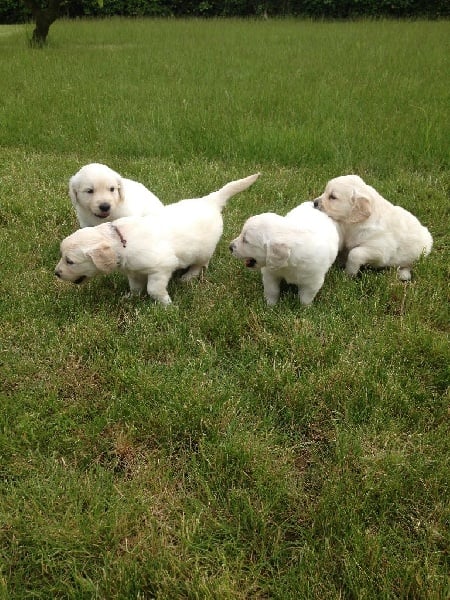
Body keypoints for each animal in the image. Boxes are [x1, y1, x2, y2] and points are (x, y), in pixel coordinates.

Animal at [56, 172, 260, 304]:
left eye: (70, 261)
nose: (56, 273)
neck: (121, 241)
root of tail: (209, 201)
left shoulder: (161, 267)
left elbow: (153, 289)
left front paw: (166, 305)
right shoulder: (134, 271)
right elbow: (136, 287)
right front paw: (130, 298)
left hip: (203, 250)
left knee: (200, 264)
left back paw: (188, 277)